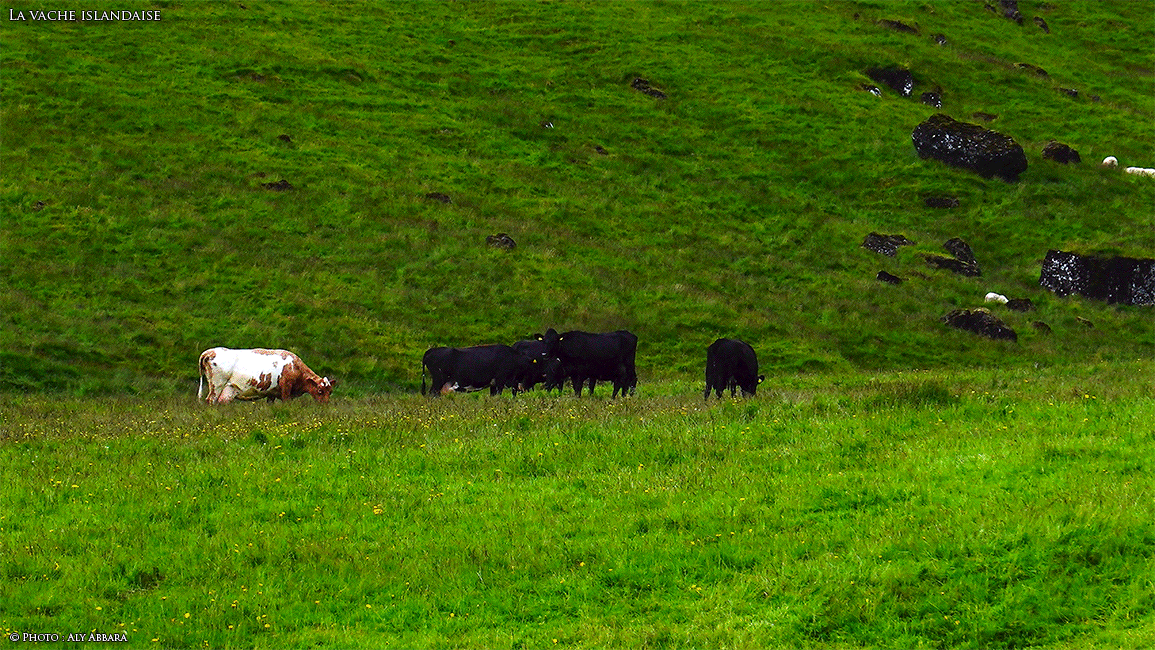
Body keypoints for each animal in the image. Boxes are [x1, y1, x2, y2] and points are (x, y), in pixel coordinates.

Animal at [198, 347, 333, 404]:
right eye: (320, 391)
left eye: (330, 392)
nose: (325, 404)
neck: (294, 366)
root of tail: (209, 351)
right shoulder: (286, 388)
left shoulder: (271, 393)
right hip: (216, 385)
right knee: (211, 400)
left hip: (228, 389)